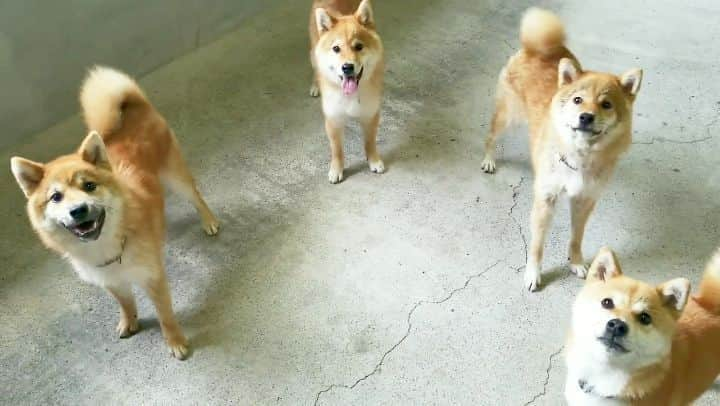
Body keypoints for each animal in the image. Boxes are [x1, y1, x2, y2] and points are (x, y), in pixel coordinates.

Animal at [9, 67, 218, 362]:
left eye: (89, 186)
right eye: (56, 197)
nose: (78, 210)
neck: (107, 243)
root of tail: (133, 105)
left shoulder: (153, 278)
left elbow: (165, 316)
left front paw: (175, 341)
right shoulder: (110, 280)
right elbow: (125, 303)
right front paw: (130, 321)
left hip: (175, 175)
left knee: (196, 197)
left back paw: (209, 221)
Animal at [308, 0, 386, 184]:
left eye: (359, 46)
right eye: (336, 48)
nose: (347, 67)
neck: (350, 96)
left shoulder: (370, 115)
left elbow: (370, 142)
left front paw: (373, 160)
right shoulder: (333, 120)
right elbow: (337, 150)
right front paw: (337, 169)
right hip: (314, 54)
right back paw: (316, 85)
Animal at [480, 7, 644, 292]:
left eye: (606, 104)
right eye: (578, 100)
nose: (586, 117)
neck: (581, 157)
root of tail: (535, 48)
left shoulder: (584, 201)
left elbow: (576, 238)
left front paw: (576, 262)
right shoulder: (546, 200)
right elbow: (537, 245)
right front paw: (533, 273)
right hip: (508, 117)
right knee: (491, 137)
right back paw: (489, 160)